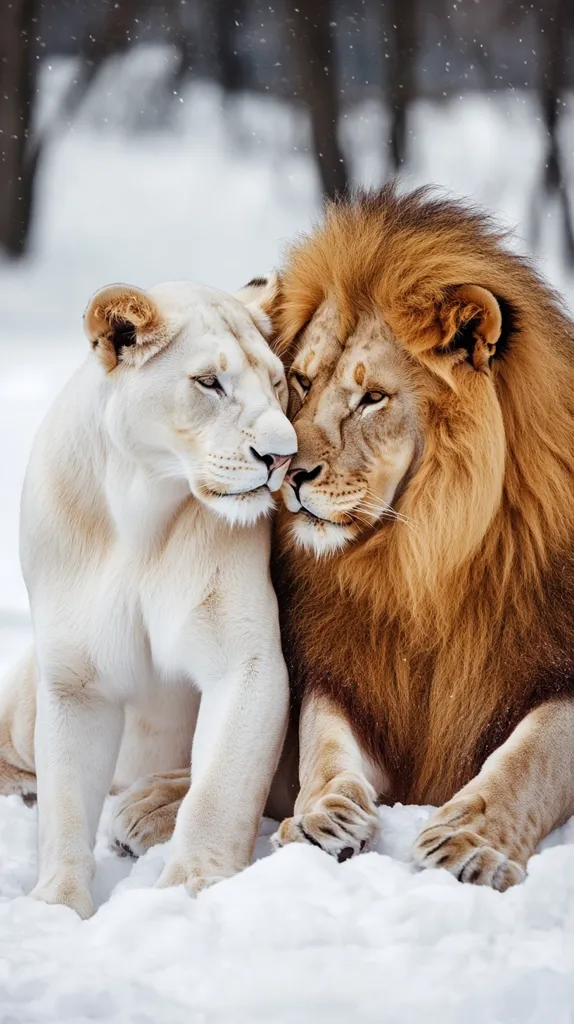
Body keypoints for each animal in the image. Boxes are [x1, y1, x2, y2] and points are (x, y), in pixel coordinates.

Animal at [0, 278, 297, 917]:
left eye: (278, 382)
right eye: (209, 382)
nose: (282, 456)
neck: (144, 508)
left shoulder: (245, 656)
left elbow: (222, 789)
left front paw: (190, 889)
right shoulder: (74, 676)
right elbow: (65, 805)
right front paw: (56, 905)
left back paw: (144, 814)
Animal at [105, 187, 574, 892]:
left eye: (372, 397)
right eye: (301, 381)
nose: (289, 471)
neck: (421, 561)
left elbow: (530, 757)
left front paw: (469, 841)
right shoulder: (346, 667)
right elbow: (322, 744)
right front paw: (322, 816)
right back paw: (155, 802)